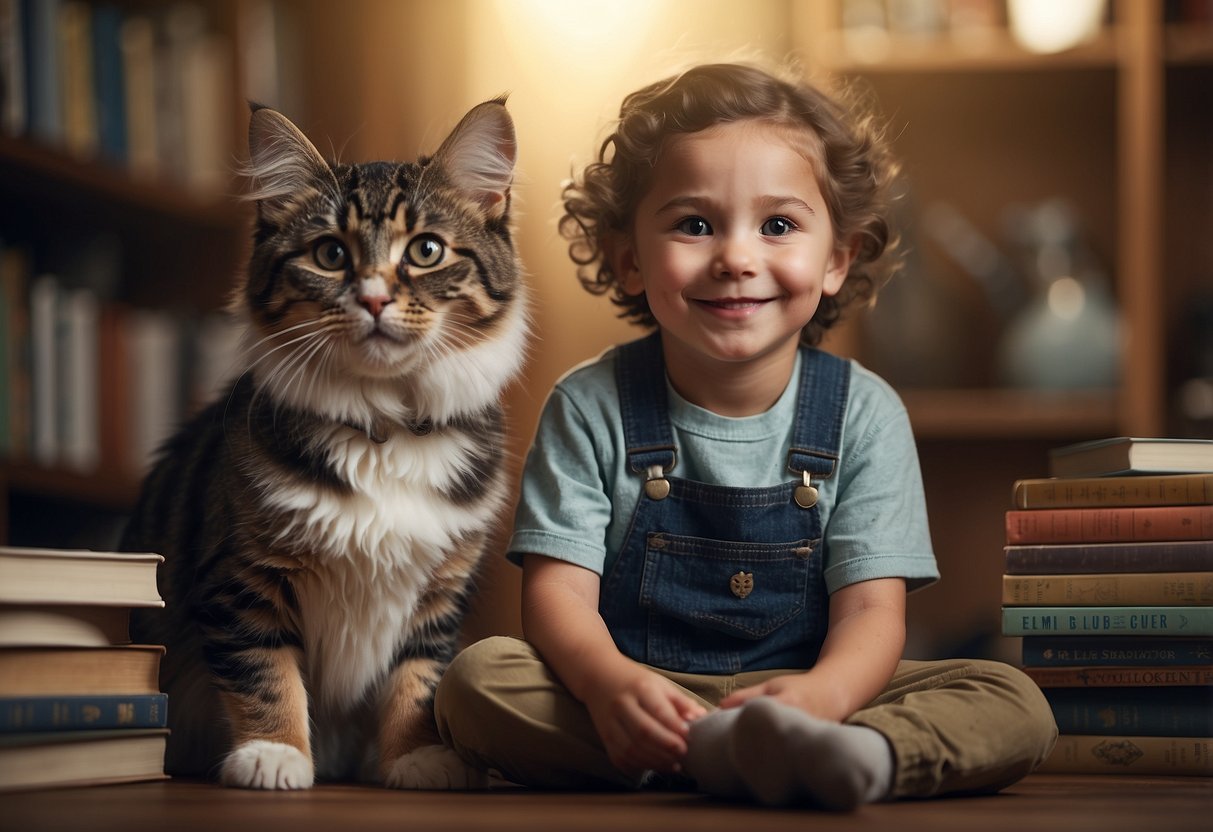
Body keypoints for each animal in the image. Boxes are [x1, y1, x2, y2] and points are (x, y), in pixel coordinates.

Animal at [120, 101, 528, 790]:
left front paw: (417, 758)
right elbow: (266, 675)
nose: (374, 297)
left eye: (426, 250)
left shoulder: (439, 592)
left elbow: (418, 682)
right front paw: (275, 754)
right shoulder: (243, 578)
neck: (384, 430)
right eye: (331, 254)